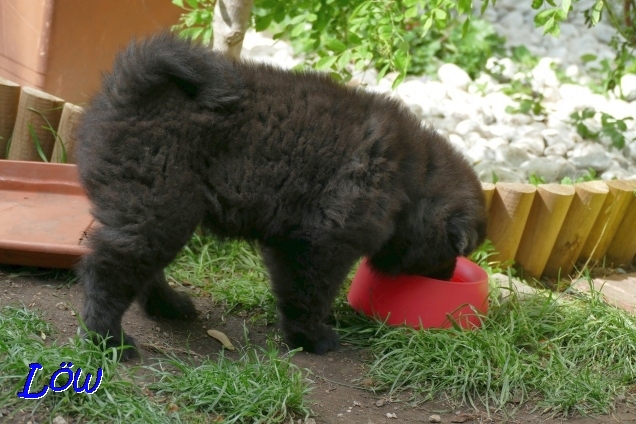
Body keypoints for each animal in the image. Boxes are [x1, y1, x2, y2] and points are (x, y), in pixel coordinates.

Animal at [78, 33, 486, 358]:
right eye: (452, 252)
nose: (448, 275)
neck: (412, 180)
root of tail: (132, 85)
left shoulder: (288, 240)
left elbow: (298, 293)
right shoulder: (321, 243)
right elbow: (309, 294)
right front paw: (313, 338)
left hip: (158, 210)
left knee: (143, 267)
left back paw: (170, 306)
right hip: (160, 204)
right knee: (110, 269)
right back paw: (108, 339)